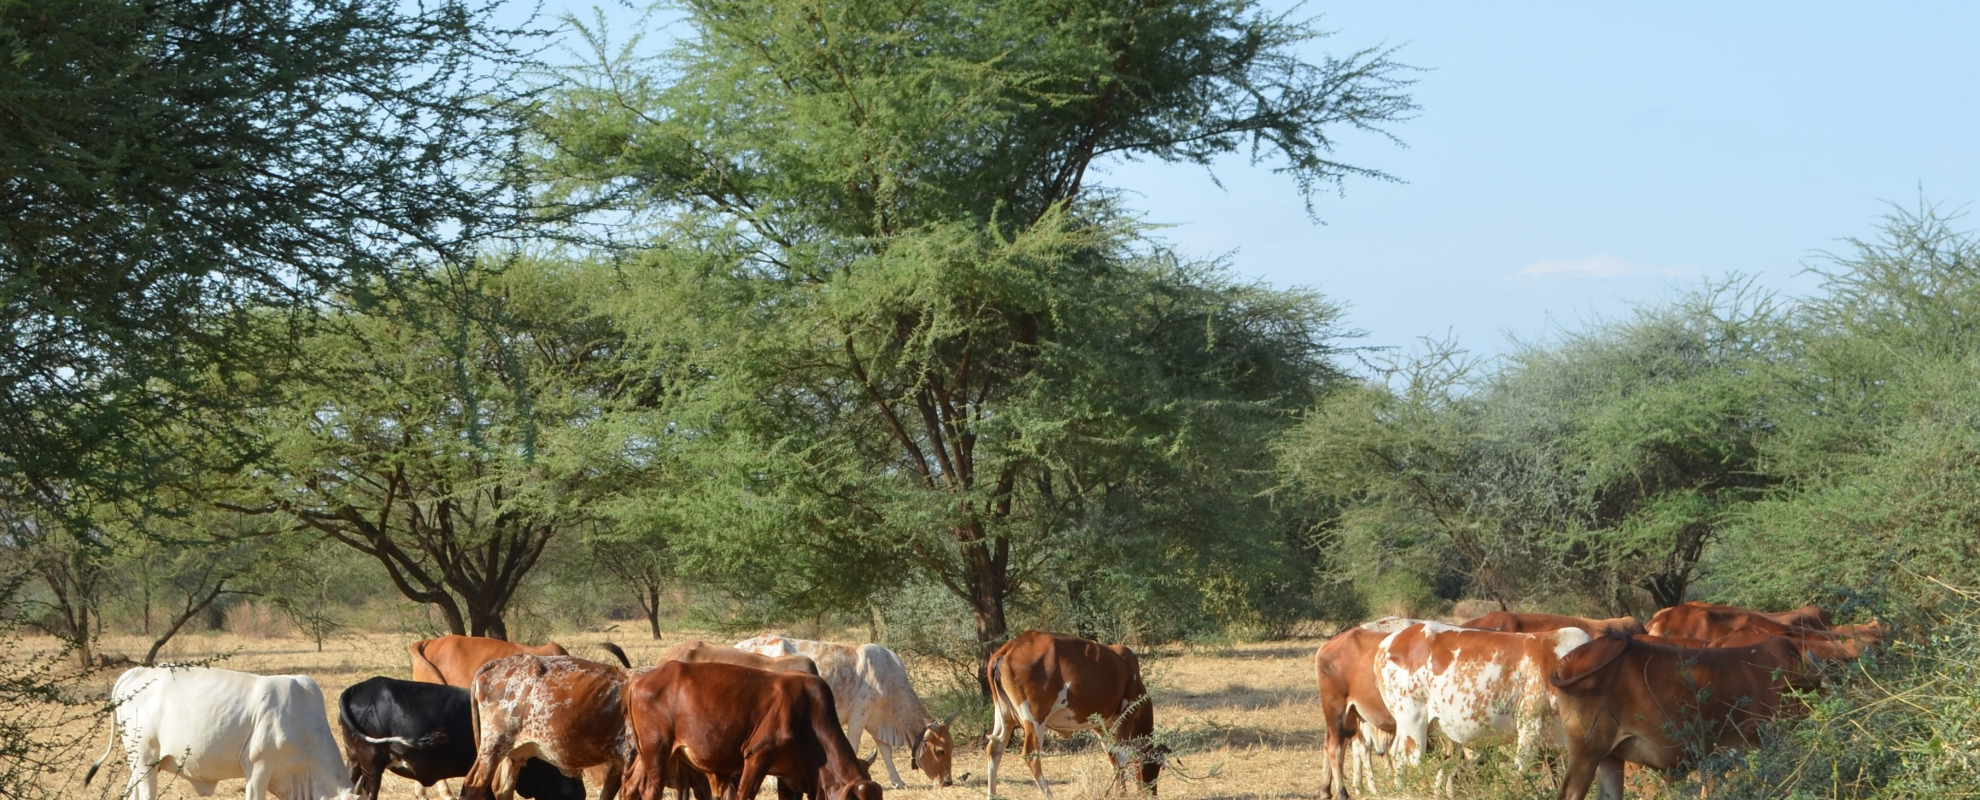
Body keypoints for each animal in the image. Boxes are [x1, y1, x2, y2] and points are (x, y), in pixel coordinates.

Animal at [460, 655, 643, 800]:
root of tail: (498, 662)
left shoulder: (618, 766)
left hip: (511, 755)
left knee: (502, 788)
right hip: (493, 746)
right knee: (473, 783)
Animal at [620, 660, 885, 800]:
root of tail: (639, 680)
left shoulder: (790, 776)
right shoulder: (757, 756)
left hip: (648, 754)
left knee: (630, 785)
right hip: (657, 751)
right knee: (650, 789)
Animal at [735, 634, 958, 789]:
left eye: (952, 747)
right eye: (940, 750)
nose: (947, 781)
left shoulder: (875, 720)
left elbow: (885, 750)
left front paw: (897, 781)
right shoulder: (859, 715)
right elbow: (853, 745)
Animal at [984, 630, 1161, 799]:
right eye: (1156, 765)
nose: (1153, 793)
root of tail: (1010, 647)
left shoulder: (1101, 726)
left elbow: (1113, 758)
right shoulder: (1126, 714)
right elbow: (1122, 757)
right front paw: (1121, 794)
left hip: (1004, 715)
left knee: (994, 750)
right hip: (1035, 719)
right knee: (1031, 755)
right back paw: (1049, 795)